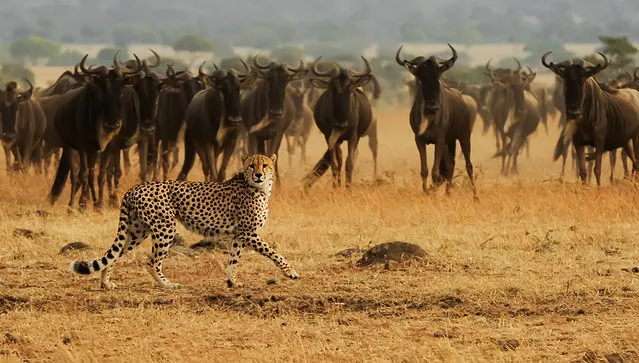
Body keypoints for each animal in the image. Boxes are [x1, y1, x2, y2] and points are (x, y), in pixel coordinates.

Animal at [70, 154, 300, 290]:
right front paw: (290, 272)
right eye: (252, 165)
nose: (259, 174)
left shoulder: (237, 236)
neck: (259, 188)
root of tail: (134, 187)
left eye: (265, 165)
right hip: (165, 227)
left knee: (114, 254)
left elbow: (234, 260)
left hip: (137, 231)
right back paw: (168, 285)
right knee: (151, 261)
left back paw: (105, 283)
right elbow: (274, 253)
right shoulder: (249, 234)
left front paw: (231, 281)